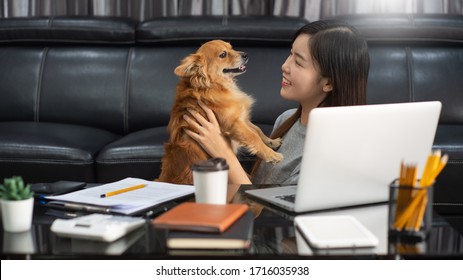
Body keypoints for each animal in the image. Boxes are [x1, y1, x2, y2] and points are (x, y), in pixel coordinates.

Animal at [159, 39, 282, 184]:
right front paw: (272, 155)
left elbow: (257, 130)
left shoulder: (241, 118)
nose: (245, 54)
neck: (217, 85)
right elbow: (253, 137)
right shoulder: (234, 124)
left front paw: (271, 141)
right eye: (223, 54)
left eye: (232, 48)